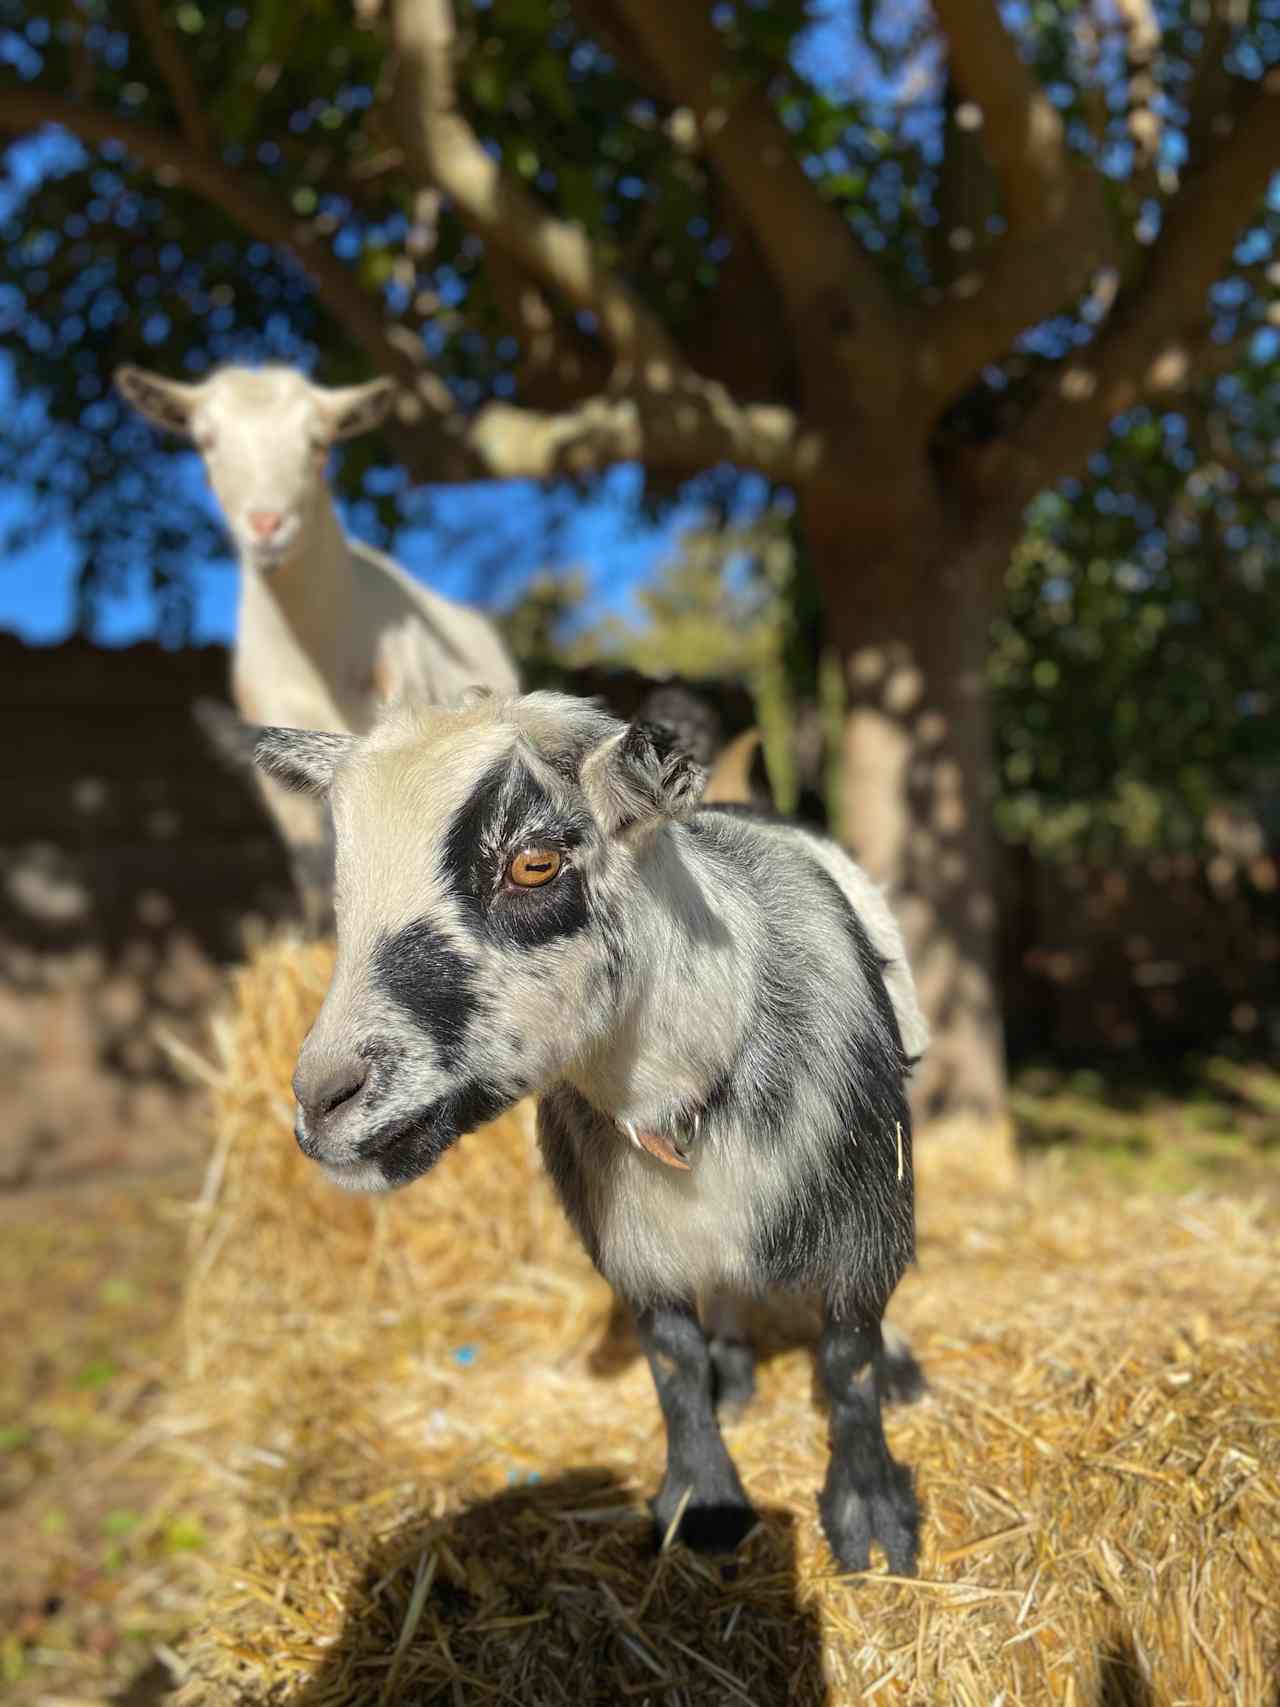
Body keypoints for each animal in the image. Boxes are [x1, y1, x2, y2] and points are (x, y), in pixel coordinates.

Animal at [252, 689, 935, 1570]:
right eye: (343, 890)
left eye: (533, 864)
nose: (323, 1097)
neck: (688, 1093)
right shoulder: (634, 1237)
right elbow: (671, 1358)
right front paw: (707, 1502)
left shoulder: (865, 1208)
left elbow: (849, 1355)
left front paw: (872, 1520)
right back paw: (735, 1372)